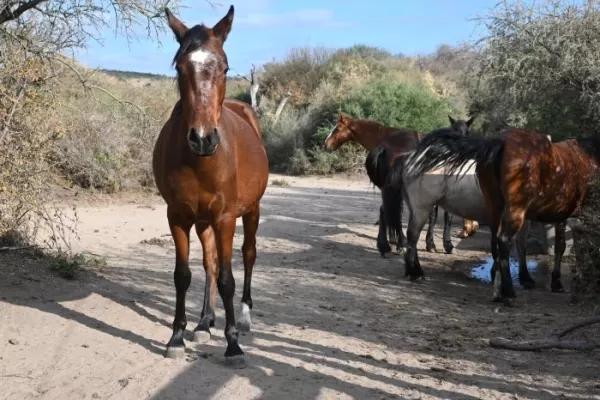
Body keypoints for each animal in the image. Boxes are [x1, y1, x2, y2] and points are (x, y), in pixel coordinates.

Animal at [154, 7, 268, 368]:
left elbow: (228, 279)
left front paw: (232, 345)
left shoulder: (225, 218)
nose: (203, 138)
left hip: (250, 212)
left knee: (248, 255)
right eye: (180, 67)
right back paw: (204, 322)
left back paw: (243, 318)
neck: (200, 162)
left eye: (225, 67)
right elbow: (183, 275)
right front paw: (176, 337)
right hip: (203, 221)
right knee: (210, 262)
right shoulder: (177, 216)